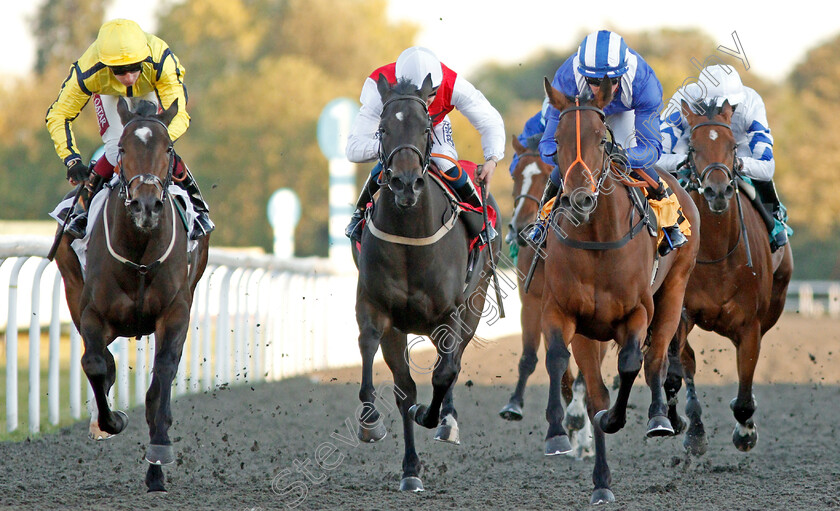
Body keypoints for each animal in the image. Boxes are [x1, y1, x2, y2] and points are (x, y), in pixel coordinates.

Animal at [54, 98, 210, 494]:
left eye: (168, 148)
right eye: (122, 149)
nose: (146, 205)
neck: (139, 251)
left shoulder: (175, 313)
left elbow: (162, 377)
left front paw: (159, 458)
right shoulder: (93, 313)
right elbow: (94, 364)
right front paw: (111, 420)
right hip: (73, 291)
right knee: (96, 360)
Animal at [352, 74, 502, 494]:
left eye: (425, 128)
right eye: (383, 129)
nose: (406, 184)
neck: (411, 239)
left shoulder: (451, 313)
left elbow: (443, 373)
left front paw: (432, 416)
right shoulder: (376, 307)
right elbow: (374, 354)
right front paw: (371, 423)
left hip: (474, 304)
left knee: (452, 363)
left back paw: (445, 422)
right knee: (405, 386)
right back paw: (410, 470)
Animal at [540, 79, 704, 504]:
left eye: (601, 139)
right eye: (558, 140)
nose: (579, 199)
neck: (598, 239)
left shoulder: (637, 312)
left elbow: (632, 363)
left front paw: (619, 418)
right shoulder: (563, 312)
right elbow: (559, 362)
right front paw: (558, 434)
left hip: (674, 291)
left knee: (657, 357)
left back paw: (660, 416)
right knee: (595, 388)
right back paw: (601, 481)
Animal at [664, 100, 796, 456]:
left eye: (733, 146)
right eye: (693, 148)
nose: (718, 190)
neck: (717, 254)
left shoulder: (750, 325)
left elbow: (745, 389)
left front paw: (745, 430)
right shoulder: (682, 314)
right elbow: (680, 370)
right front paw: (689, 428)